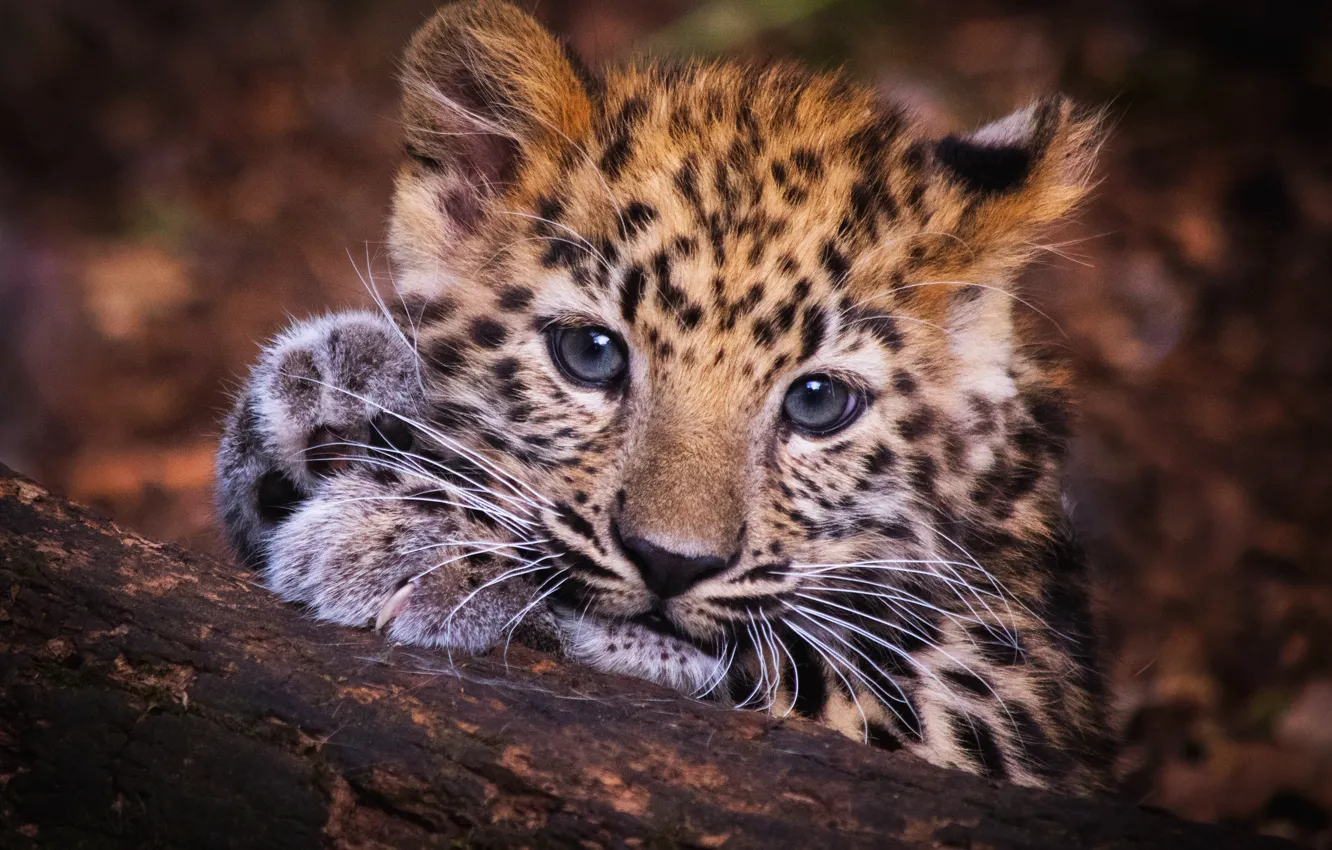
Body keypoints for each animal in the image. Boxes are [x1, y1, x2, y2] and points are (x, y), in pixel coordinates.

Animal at [216, 0, 1113, 793]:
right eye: (590, 355)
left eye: (818, 403)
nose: (670, 563)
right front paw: (336, 395)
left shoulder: (999, 704)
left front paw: (422, 546)